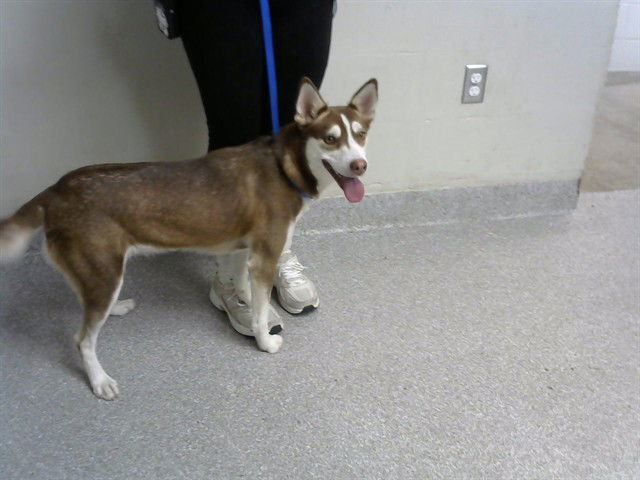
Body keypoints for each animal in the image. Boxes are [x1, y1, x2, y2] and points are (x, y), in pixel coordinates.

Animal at [0, 78, 378, 399]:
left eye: (360, 135)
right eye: (330, 138)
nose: (360, 165)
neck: (285, 166)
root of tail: (55, 190)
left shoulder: (241, 248)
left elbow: (241, 284)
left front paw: (242, 300)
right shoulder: (266, 256)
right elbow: (258, 314)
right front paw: (264, 341)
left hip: (101, 272)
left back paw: (117, 308)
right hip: (102, 271)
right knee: (82, 340)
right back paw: (99, 381)